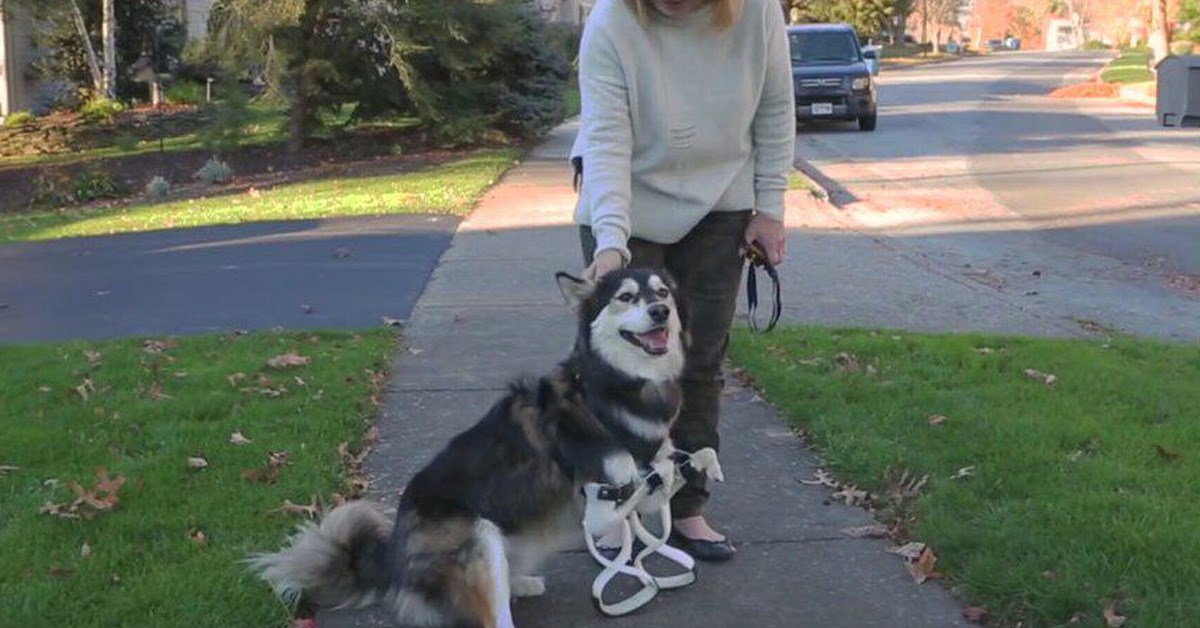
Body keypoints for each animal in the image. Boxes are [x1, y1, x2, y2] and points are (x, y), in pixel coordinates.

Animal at [247, 268, 705, 628]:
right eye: (625, 297)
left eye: (662, 293)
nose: (660, 312)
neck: (611, 388)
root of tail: (394, 562)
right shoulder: (604, 499)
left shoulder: (647, 480)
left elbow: (662, 479)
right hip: (476, 535)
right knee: (491, 614)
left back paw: (521, 581)